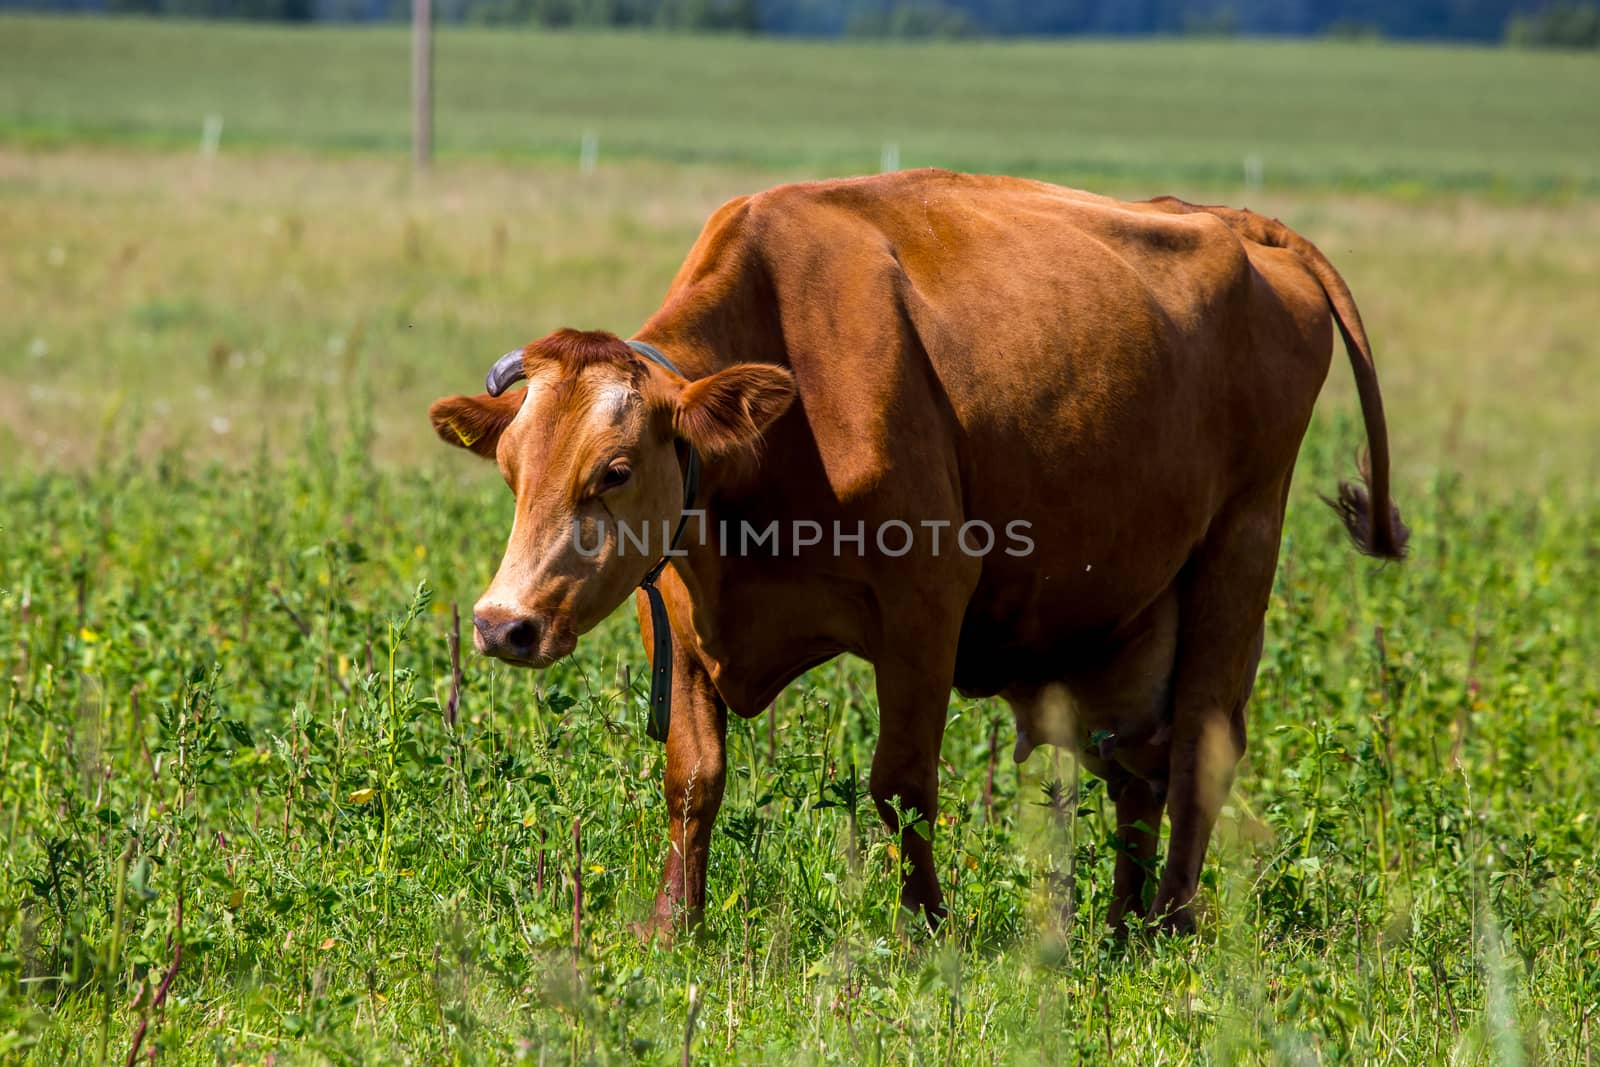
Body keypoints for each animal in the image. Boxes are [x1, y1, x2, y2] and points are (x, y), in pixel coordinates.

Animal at [432, 171, 1408, 940]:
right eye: (512, 469)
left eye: (617, 469)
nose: (501, 624)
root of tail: (1236, 222)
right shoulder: (672, 611)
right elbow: (692, 779)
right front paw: (675, 925)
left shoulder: (925, 603)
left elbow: (901, 784)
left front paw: (925, 931)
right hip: (1130, 620)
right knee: (1139, 765)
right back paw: (1120, 925)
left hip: (1240, 546)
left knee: (1201, 747)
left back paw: (1167, 926)